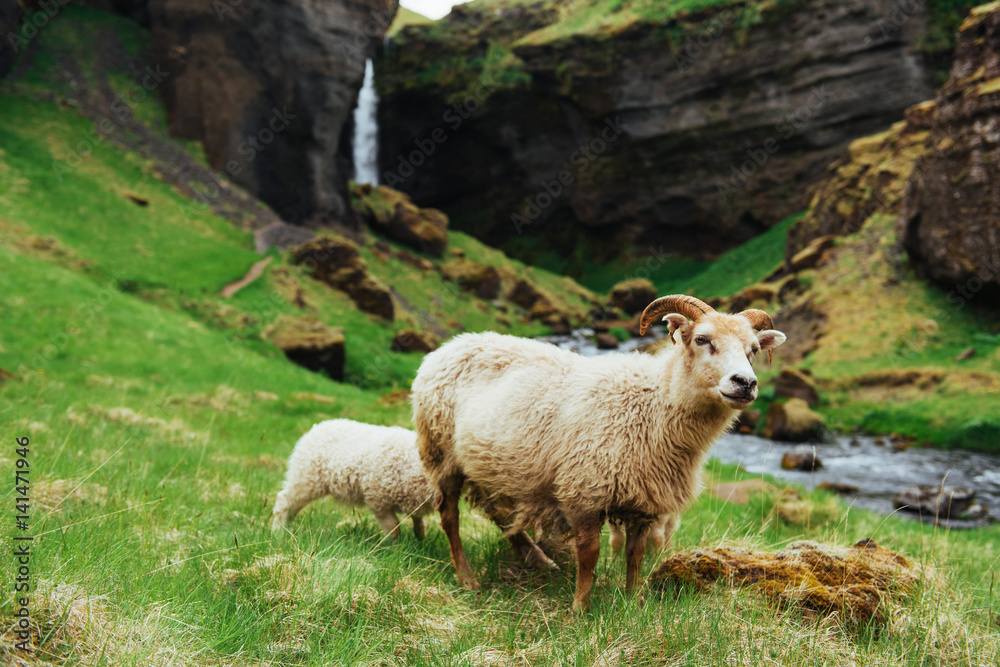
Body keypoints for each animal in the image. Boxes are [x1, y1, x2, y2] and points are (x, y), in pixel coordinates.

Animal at [271, 419, 435, 539]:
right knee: (284, 501)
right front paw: (396, 549)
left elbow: (418, 522)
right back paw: (278, 532)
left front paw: (421, 540)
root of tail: (316, 428)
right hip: (306, 478)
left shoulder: (413, 500)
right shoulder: (378, 501)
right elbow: (393, 528)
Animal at [411, 294, 786, 610]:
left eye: (753, 349)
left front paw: (634, 603)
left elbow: (635, 556)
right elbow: (589, 555)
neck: (653, 405)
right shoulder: (584, 491)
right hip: (441, 453)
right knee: (450, 517)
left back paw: (537, 560)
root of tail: (450, 345)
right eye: (702, 339)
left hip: (493, 465)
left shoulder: (645, 502)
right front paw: (580, 609)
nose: (745, 383)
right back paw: (467, 577)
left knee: (499, 513)